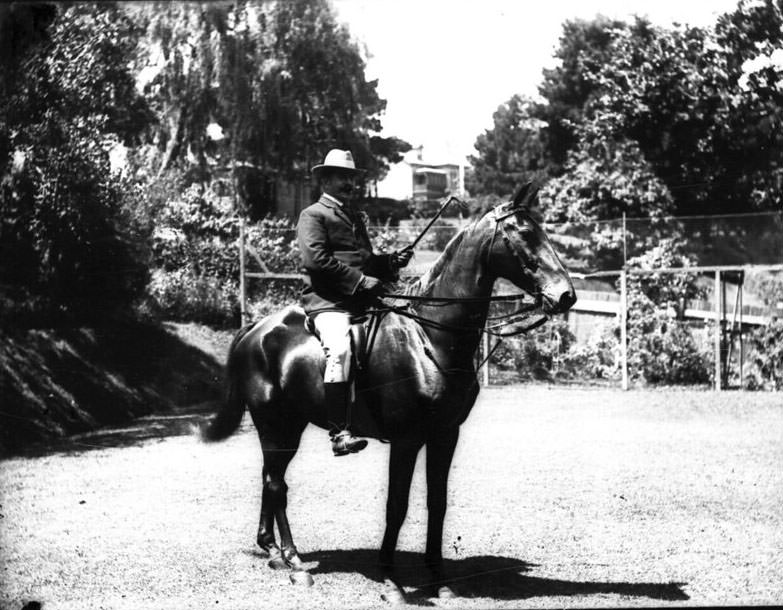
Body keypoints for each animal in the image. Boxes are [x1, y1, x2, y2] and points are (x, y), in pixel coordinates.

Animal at [204, 180, 576, 600]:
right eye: (525, 232)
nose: (566, 295)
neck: (429, 335)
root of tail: (256, 328)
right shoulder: (407, 438)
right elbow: (396, 505)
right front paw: (391, 580)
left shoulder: (445, 435)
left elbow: (437, 503)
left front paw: (439, 580)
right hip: (273, 422)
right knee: (276, 483)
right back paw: (294, 561)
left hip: (289, 425)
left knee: (271, 477)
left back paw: (272, 550)